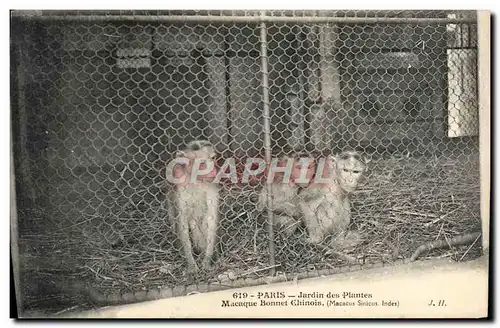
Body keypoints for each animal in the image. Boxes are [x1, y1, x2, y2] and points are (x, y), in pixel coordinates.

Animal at [165, 139, 220, 274]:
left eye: (212, 158)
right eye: (202, 164)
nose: (213, 170)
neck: (194, 178)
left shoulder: (212, 182)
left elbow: (211, 219)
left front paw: (207, 261)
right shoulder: (178, 180)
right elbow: (182, 221)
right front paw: (191, 264)